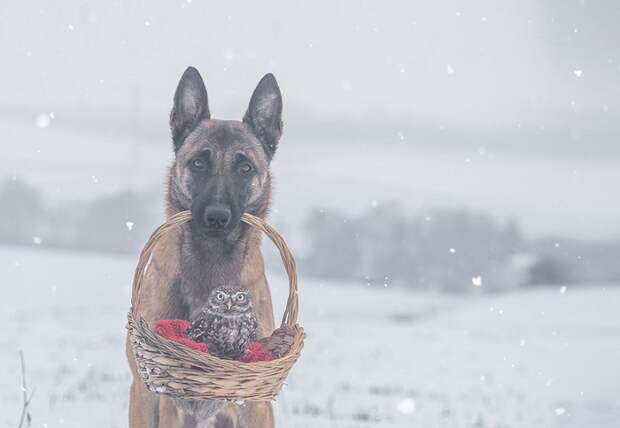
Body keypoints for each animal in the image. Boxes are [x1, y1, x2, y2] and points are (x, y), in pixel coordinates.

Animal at [128, 67, 284, 428]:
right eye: (199, 163)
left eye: (245, 168)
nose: (216, 217)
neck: (211, 259)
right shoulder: (154, 395)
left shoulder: (255, 404)